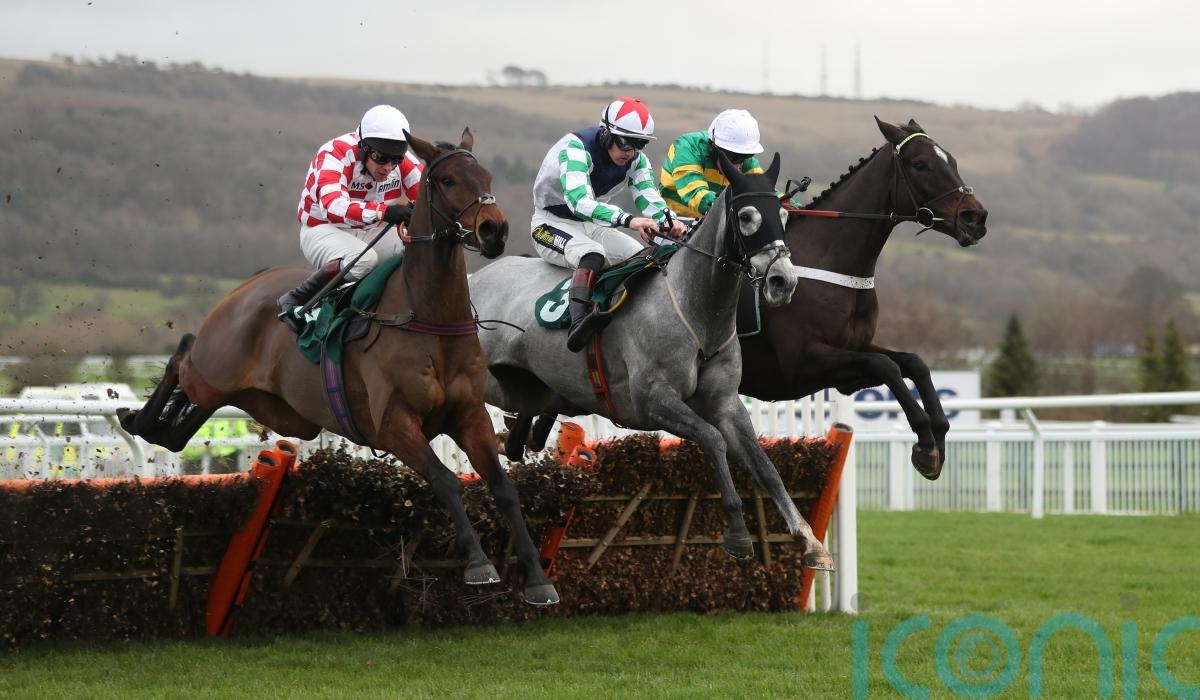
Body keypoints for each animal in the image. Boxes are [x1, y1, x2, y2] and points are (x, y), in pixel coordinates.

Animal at [117, 130, 562, 606]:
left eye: (487, 175)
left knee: (181, 428)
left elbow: (504, 488)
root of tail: (250, 284)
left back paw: (152, 422)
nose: (494, 229)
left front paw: (538, 578)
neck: (429, 318)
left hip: (273, 408)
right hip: (213, 372)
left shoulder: (470, 415)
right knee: (181, 357)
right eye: (446, 179)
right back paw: (133, 414)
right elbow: (445, 481)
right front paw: (479, 564)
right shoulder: (393, 424)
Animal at [470, 153, 837, 571]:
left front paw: (810, 542)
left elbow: (767, 468)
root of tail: (474, 278)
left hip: (533, 388)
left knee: (525, 420)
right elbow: (713, 440)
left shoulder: (726, 403)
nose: (782, 282)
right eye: (747, 216)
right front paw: (738, 532)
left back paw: (517, 436)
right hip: (486, 380)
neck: (696, 312)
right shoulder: (652, 401)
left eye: (784, 215)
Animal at [737, 117, 989, 479]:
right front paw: (925, 442)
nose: (975, 218)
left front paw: (938, 435)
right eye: (921, 164)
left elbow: (913, 363)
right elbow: (886, 366)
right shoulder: (799, 363)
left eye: (952, 161)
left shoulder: (854, 351)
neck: (829, 263)